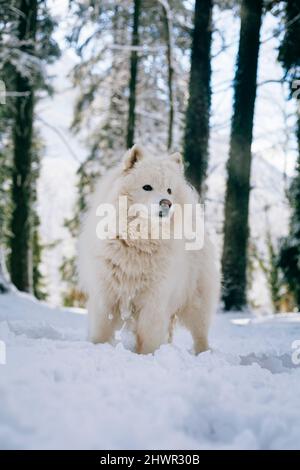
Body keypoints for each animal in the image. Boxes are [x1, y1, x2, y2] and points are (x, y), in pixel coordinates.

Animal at [78, 145, 219, 354]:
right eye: (147, 187)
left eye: (169, 190)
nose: (167, 203)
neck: (139, 240)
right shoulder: (105, 295)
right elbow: (101, 331)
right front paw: (97, 348)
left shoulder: (154, 301)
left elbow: (148, 337)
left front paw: (147, 356)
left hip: (197, 303)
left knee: (200, 334)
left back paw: (203, 353)